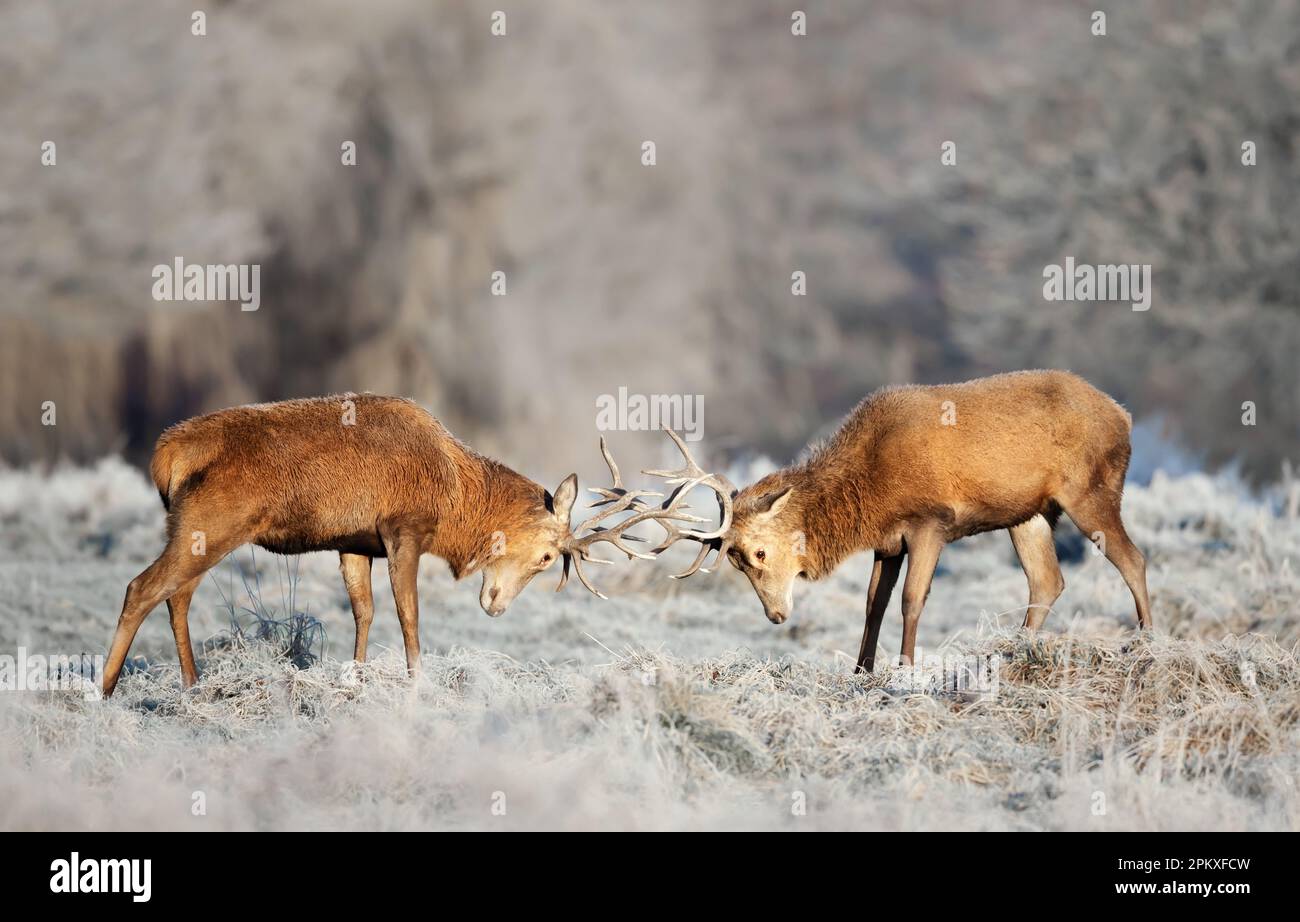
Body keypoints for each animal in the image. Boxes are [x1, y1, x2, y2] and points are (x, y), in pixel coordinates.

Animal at [102, 392, 686, 691]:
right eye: (546, 556)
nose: (496, 605)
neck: (456, 499)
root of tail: (166, 456)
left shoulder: (354, 542)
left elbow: (364, 611)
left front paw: (356, 676)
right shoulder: (403, 528)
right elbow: (409, 614)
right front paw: (416, 683)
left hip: (196, 531)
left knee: (177, 595)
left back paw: (191, 683)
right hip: (213, 523)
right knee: (141, 587)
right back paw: (107, 689)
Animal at [655, 369, 1154, 671]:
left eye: (759, 552)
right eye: (734, 562)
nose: (777, 615)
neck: (868, 493)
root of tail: (1125, 417)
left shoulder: (931, 522)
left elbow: (912, 600)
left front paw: (905, 667)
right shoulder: (887, 540)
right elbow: (872, 603)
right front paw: (861, 670)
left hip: (1090, 490)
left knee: (1133, 559)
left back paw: (1147, 643)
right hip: (1028, 514)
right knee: (1048, 579)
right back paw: (1013, 650)